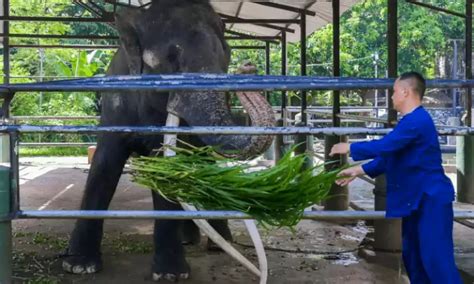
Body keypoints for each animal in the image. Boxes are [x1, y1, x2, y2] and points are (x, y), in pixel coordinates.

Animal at [62, 0, 278, 280]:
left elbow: (166, 170)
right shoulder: (115, 102)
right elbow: (104, 165)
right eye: (170, 59)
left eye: (226, 55)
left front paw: (170, 275)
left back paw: (217, 243)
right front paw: (78, 266)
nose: (248, 67)